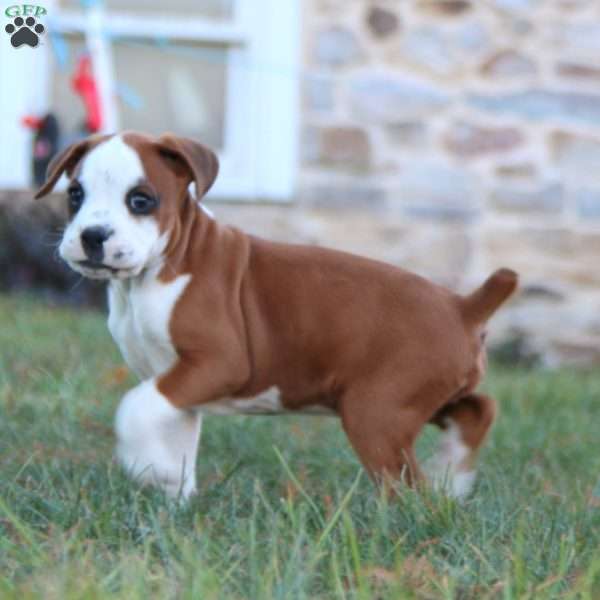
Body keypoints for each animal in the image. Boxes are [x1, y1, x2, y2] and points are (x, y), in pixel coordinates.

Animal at [35, 132, 516, 502]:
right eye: (75, 195)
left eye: (140, 200)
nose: (93, 235)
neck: (152, 275)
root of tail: (462, 306)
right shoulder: (177, 382)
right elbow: (172, 431)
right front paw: (174, 496)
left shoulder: (216, 363)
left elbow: (135, 407)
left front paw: (144, 464)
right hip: (416, 398)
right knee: (477, 409)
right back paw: (454, 474)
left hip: (377, 411)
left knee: (409, 488)